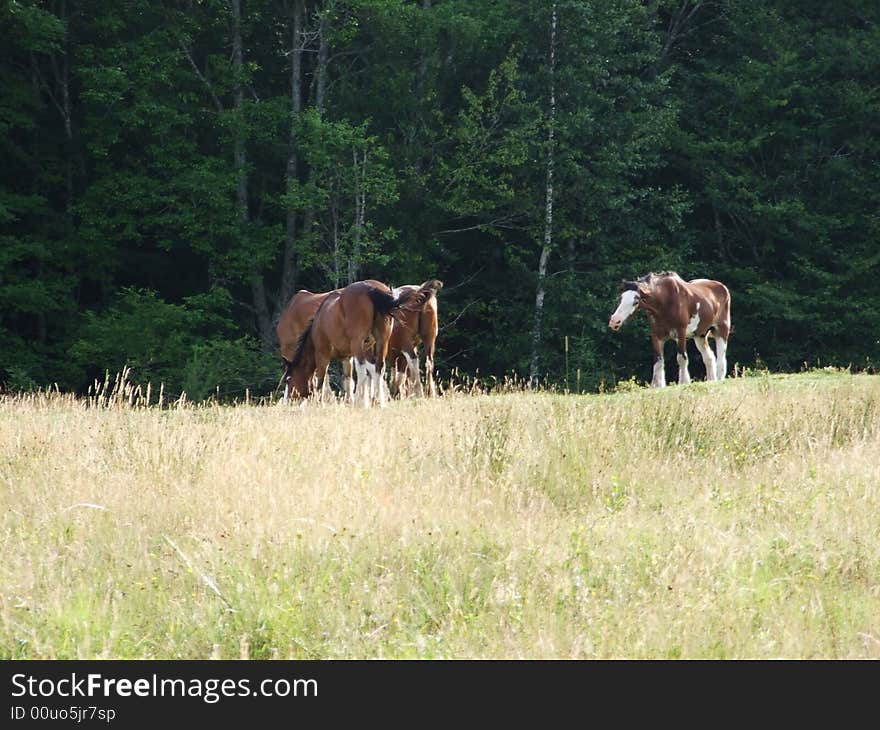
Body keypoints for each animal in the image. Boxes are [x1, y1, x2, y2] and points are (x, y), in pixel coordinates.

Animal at [286, 278, 444, 404]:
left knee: (366, 368)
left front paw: (320, 402)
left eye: (288, 379)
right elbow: (356, 377)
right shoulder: (351, 356)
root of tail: (371, 289)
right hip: (404, 340)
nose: (286, 400)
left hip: (377, 343)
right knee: (388, 366)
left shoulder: (323, 355)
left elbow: (321, 380)